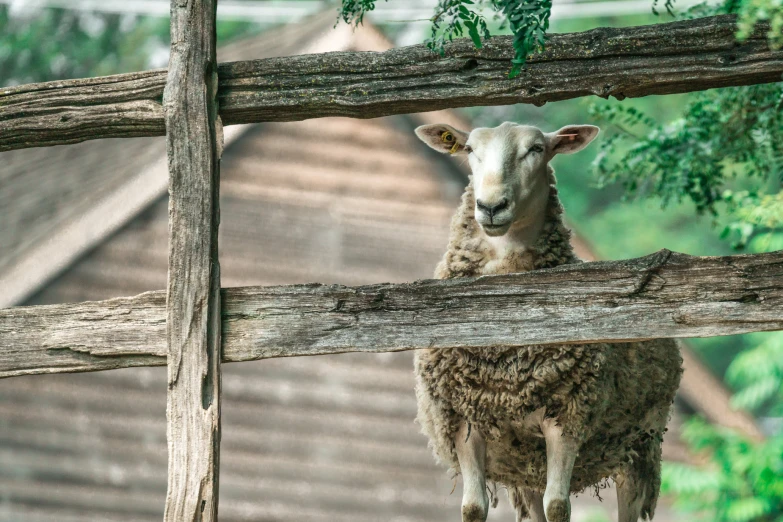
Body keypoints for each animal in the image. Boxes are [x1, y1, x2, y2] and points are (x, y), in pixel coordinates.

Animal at [414, 122, 684, 520]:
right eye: (469, 150)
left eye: (537, 149)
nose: (490, 206)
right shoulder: (464, 420)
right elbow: (473, 507)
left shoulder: (567, 418)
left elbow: (558, 505)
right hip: (525, 462)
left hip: (638, 445)